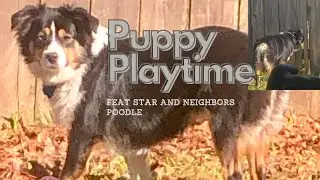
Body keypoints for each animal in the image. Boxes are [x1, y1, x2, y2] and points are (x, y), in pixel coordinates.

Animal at [10, 3, 290, 179]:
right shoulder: (133, 147)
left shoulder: (82, 134)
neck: (85, 63)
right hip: (255, 134)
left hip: (226, 129)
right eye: (41, 37)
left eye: (67, 37)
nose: (51, 57)